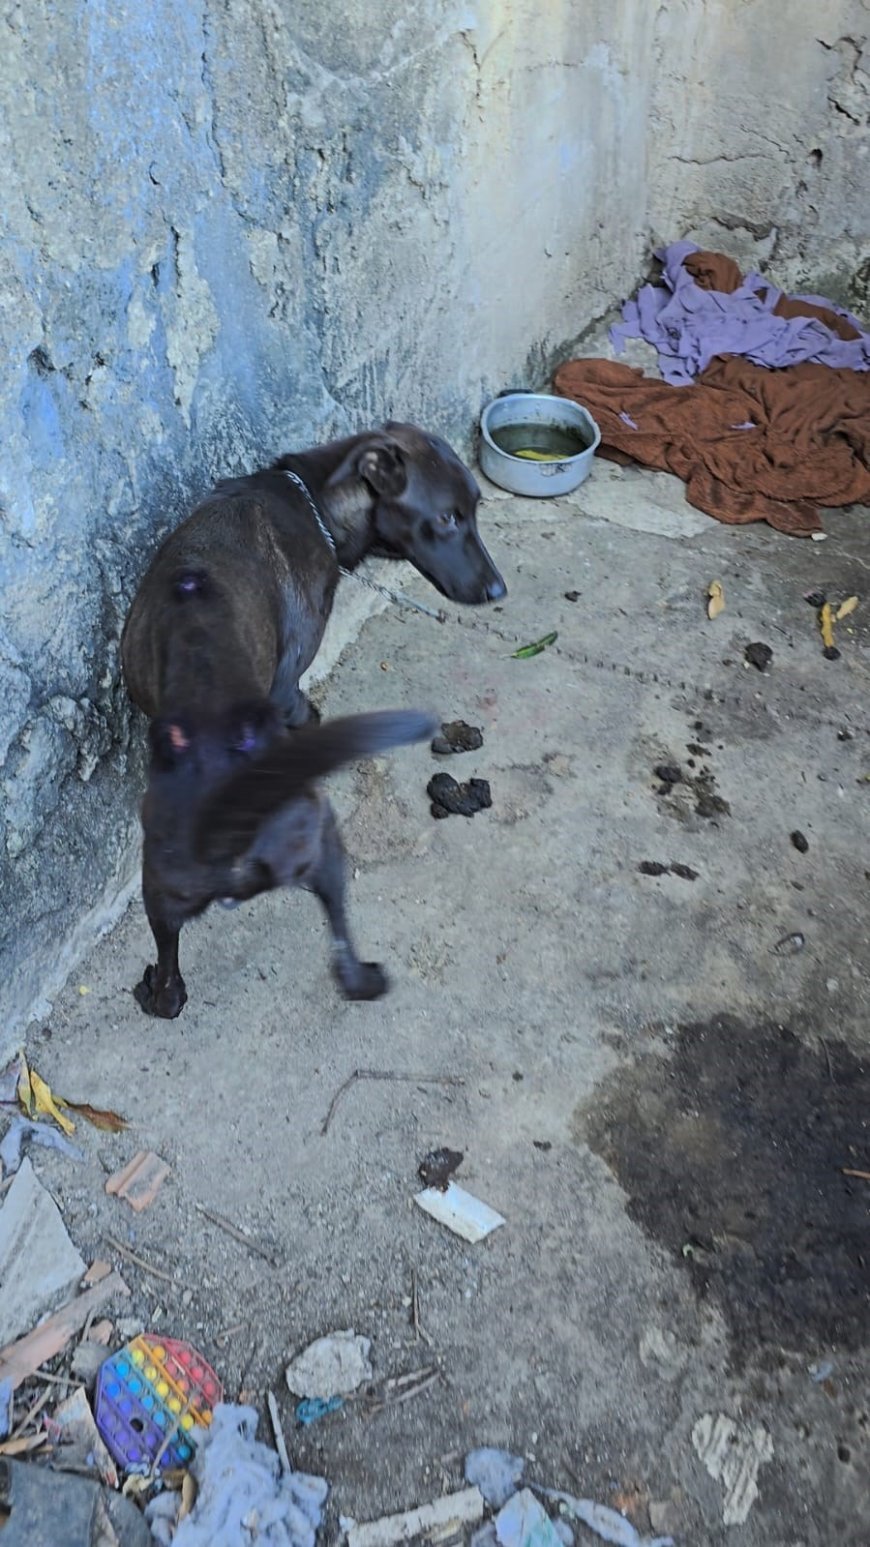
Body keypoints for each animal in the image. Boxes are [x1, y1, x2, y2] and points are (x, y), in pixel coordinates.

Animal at [120, 423, 501, 1014]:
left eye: (476, 509)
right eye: (446, 518)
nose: (497, 590)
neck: (312, 499)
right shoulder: (290, 691)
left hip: (165, 889)